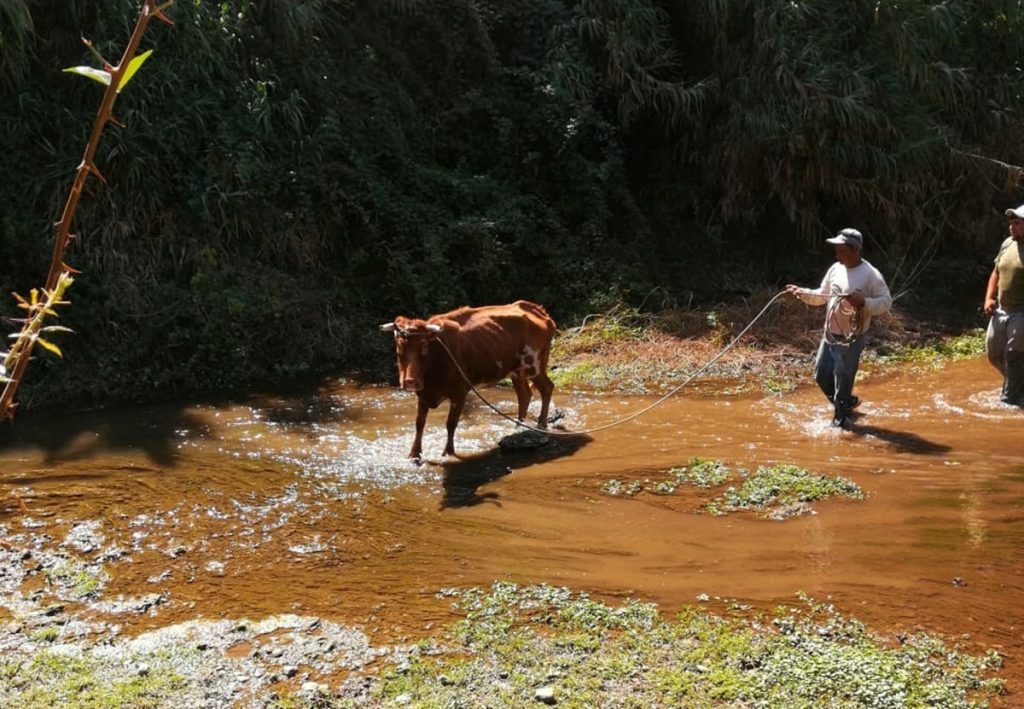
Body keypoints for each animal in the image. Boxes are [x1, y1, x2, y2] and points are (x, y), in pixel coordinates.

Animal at [382, 299, 557, 459]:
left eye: (424, 345)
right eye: (399, 346)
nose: (410, 381)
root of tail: (534, 308)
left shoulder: (460, 394)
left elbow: (451, 424)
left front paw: (448, 453)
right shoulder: (423, 394)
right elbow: (419, 424)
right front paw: (414, 454)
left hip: (535, 366)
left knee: (547, 388)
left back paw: (542, 424)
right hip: (517, 371)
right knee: (524, 394)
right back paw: (518, 427)